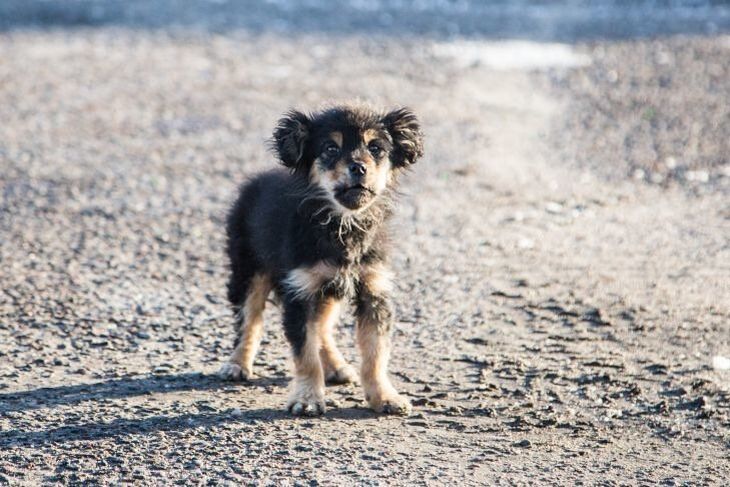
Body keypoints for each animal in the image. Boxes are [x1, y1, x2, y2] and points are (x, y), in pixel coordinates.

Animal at [216, 105, 420, 418]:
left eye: (376, 148)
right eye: (330, 148)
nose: (358, 167)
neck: (342, 224)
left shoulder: (373, 289)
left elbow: (375, 353)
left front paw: (385, 397)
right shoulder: (300, 291)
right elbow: (305, 353)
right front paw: (308, 399)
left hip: (329, 288)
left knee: (322, 327)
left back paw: (336, 366)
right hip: (248, 268)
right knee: (249, 320)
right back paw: (237, 364)